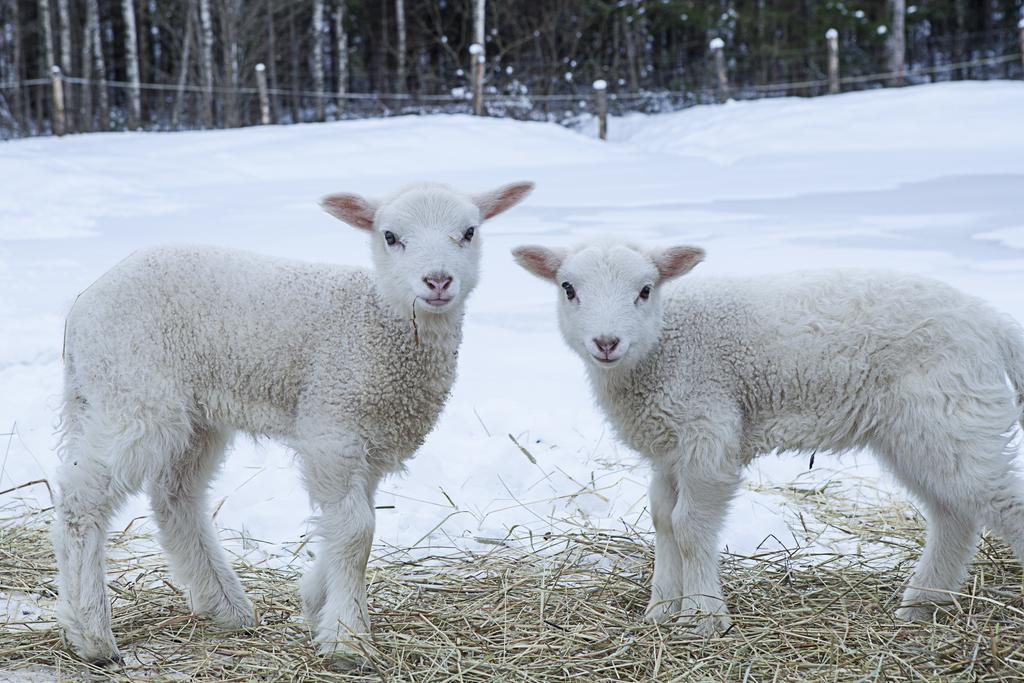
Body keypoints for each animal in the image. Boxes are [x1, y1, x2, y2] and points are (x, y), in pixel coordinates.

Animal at [54, 180, 536, 663]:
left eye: (469, 232)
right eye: (390, 236)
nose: (437, 281)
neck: (377, 321)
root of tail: (82, 306)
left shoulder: (370, 438)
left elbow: (354, 521)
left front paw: (318, 599)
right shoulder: (332, 425)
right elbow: (358, 530)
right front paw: (348, 636)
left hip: (193, 413)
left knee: (176, 496)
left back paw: (226, 606)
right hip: (135, 394)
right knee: (83, 497)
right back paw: (92, 633)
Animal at [516, 241, 1024, 634]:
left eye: (645, 290)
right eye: (568, 288)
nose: (606, 343)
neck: (664, 347)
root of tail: (991, 324)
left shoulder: (708, 429)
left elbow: (689, 527)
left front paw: (702, 616)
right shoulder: (669, 449)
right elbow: (662, 519)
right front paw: (661, 609)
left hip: (952, 412)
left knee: (999, 503)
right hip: (921, 431)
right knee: (953, 515)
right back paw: (921, 604)